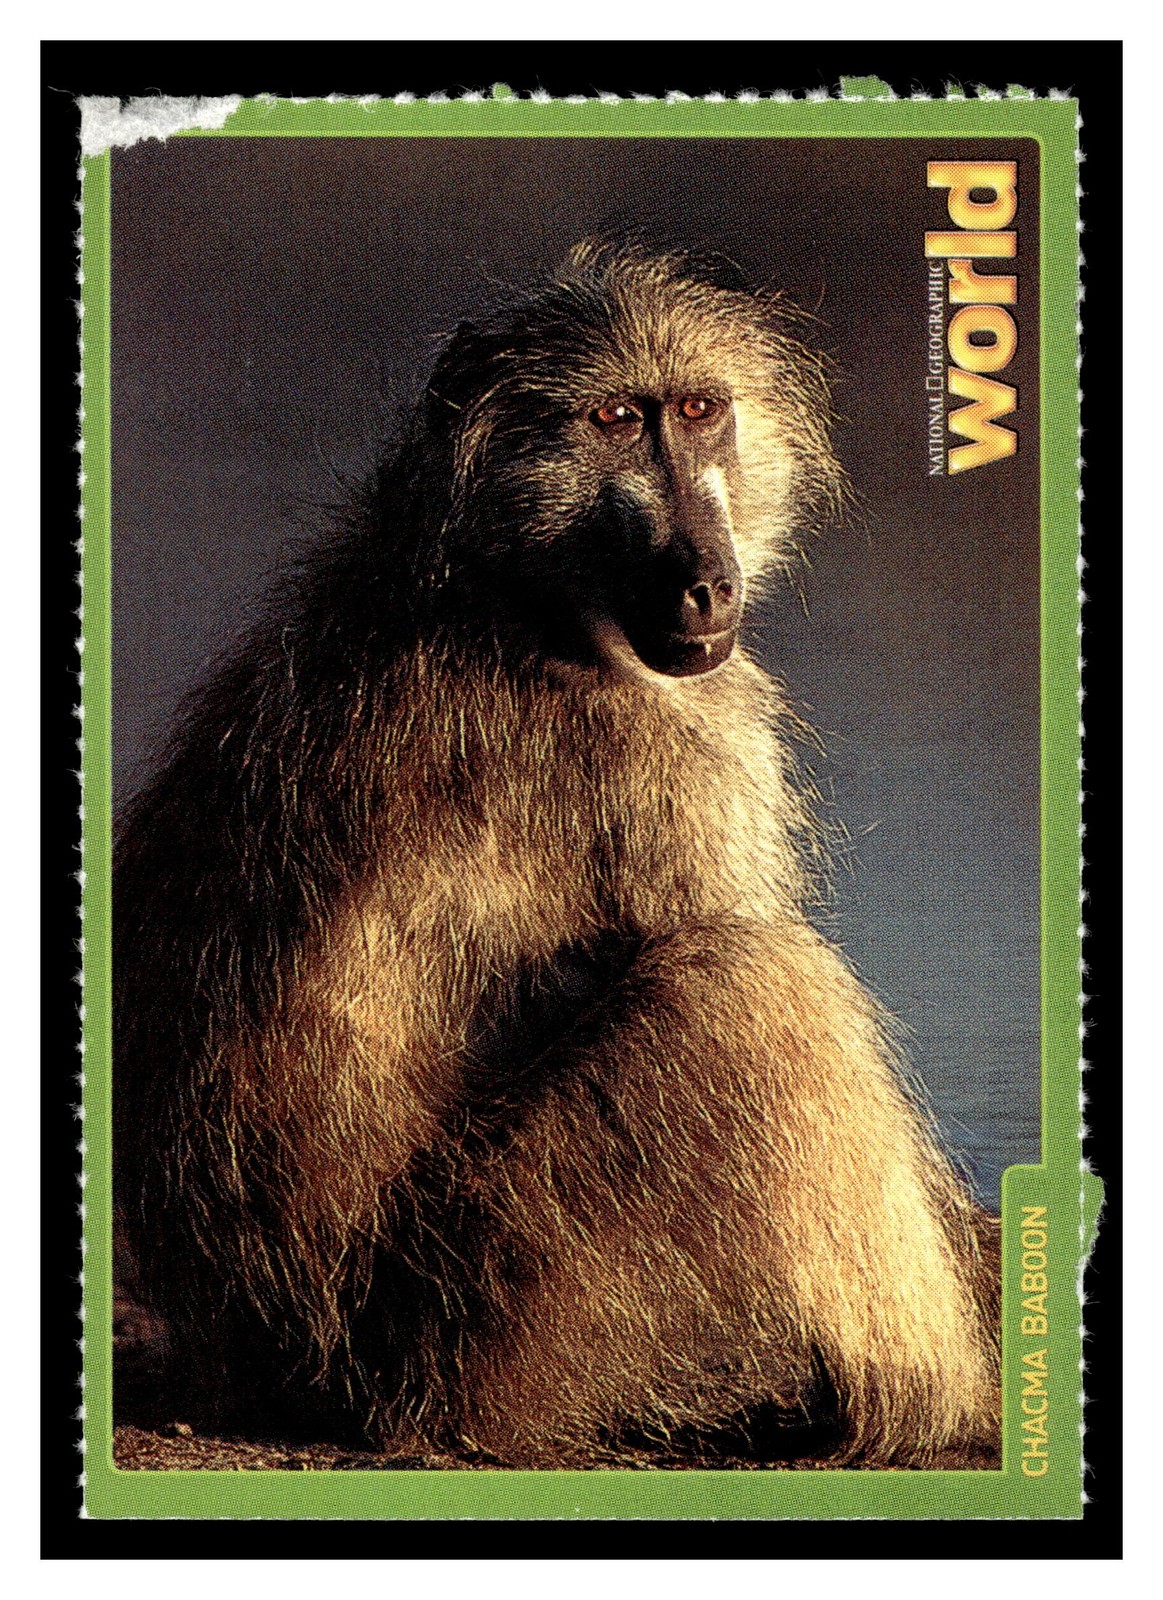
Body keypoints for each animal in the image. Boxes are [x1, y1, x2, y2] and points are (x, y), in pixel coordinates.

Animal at [113, 240, 1001, 1469]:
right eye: (615, 422)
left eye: (696, 411)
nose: (704, 584)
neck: (502, 585)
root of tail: (287, 1375)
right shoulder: (667, 757)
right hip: (501, 1321)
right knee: (748, 990)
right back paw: (930, 1405)